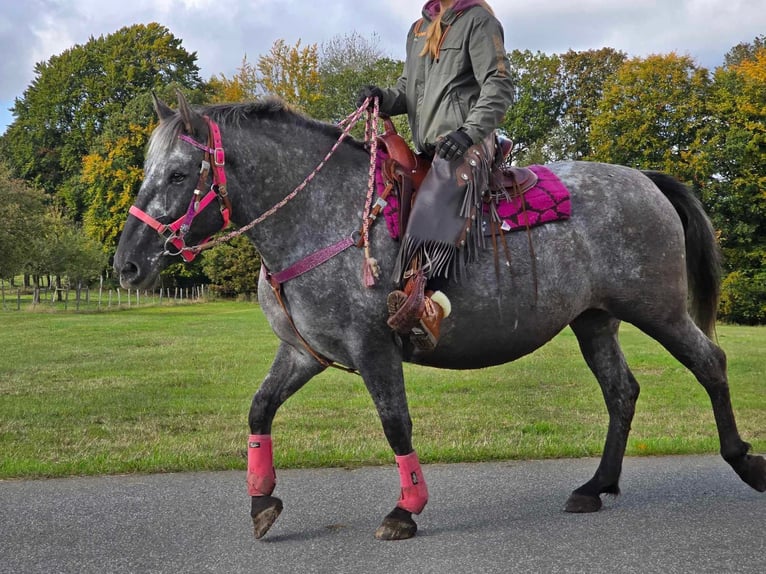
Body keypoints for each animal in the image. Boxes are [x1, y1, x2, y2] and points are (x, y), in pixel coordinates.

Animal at [111, 92, 764, 544]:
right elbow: (259, 409)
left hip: (659, 310)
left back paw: (743, 461)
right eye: (147, 170)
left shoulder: (373, 347)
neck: (327, 218)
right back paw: (595, 486)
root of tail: (645, 179)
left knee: (710, 362)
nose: (126, 265)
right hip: (596, 319)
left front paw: (406, 509)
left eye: (177, 174)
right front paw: (261, 501)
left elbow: (395, 424)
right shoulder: (302, 354)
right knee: (622, 391)